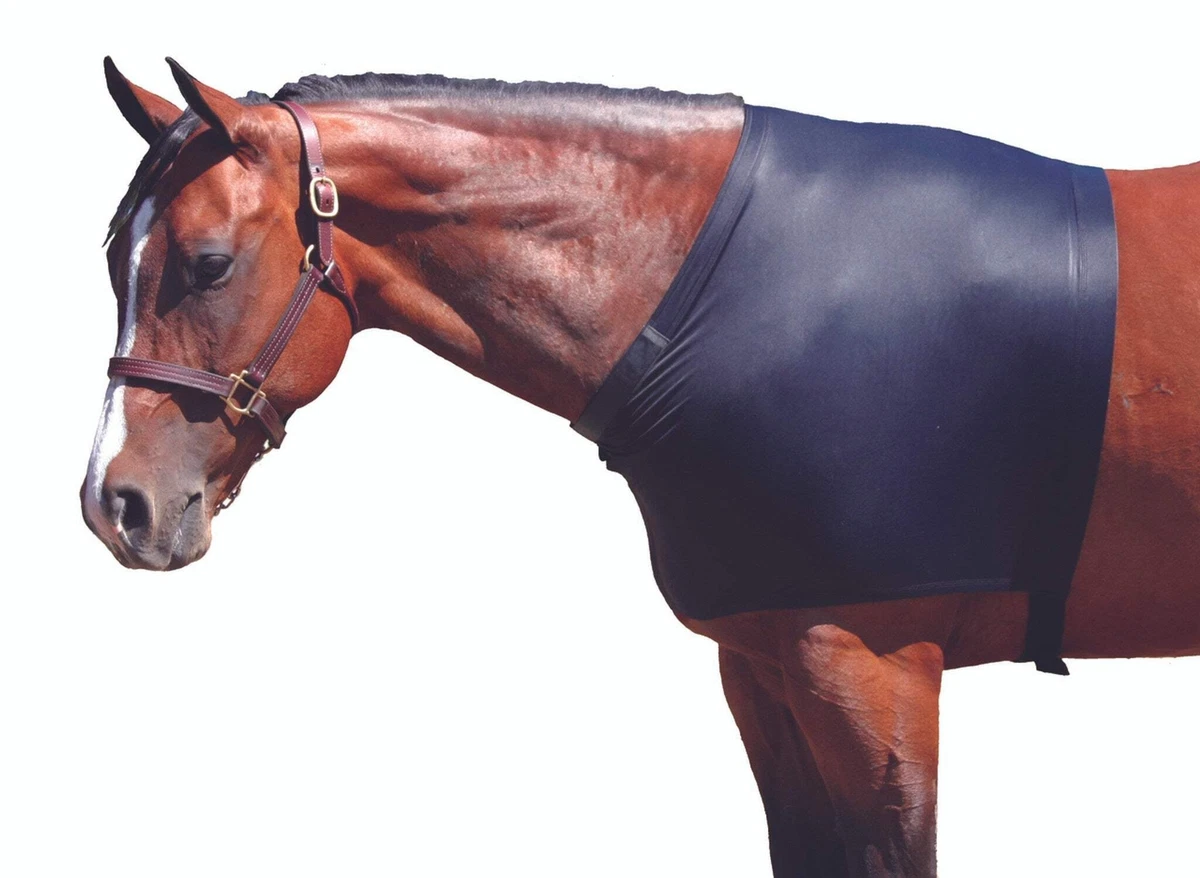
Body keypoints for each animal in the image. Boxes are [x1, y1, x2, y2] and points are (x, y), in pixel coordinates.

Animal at [81, 58, 1200, 877]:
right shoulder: (763, 664)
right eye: (111, 258)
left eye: (208, 264)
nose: (115, 501)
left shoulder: (874, 666)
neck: (719, 295)